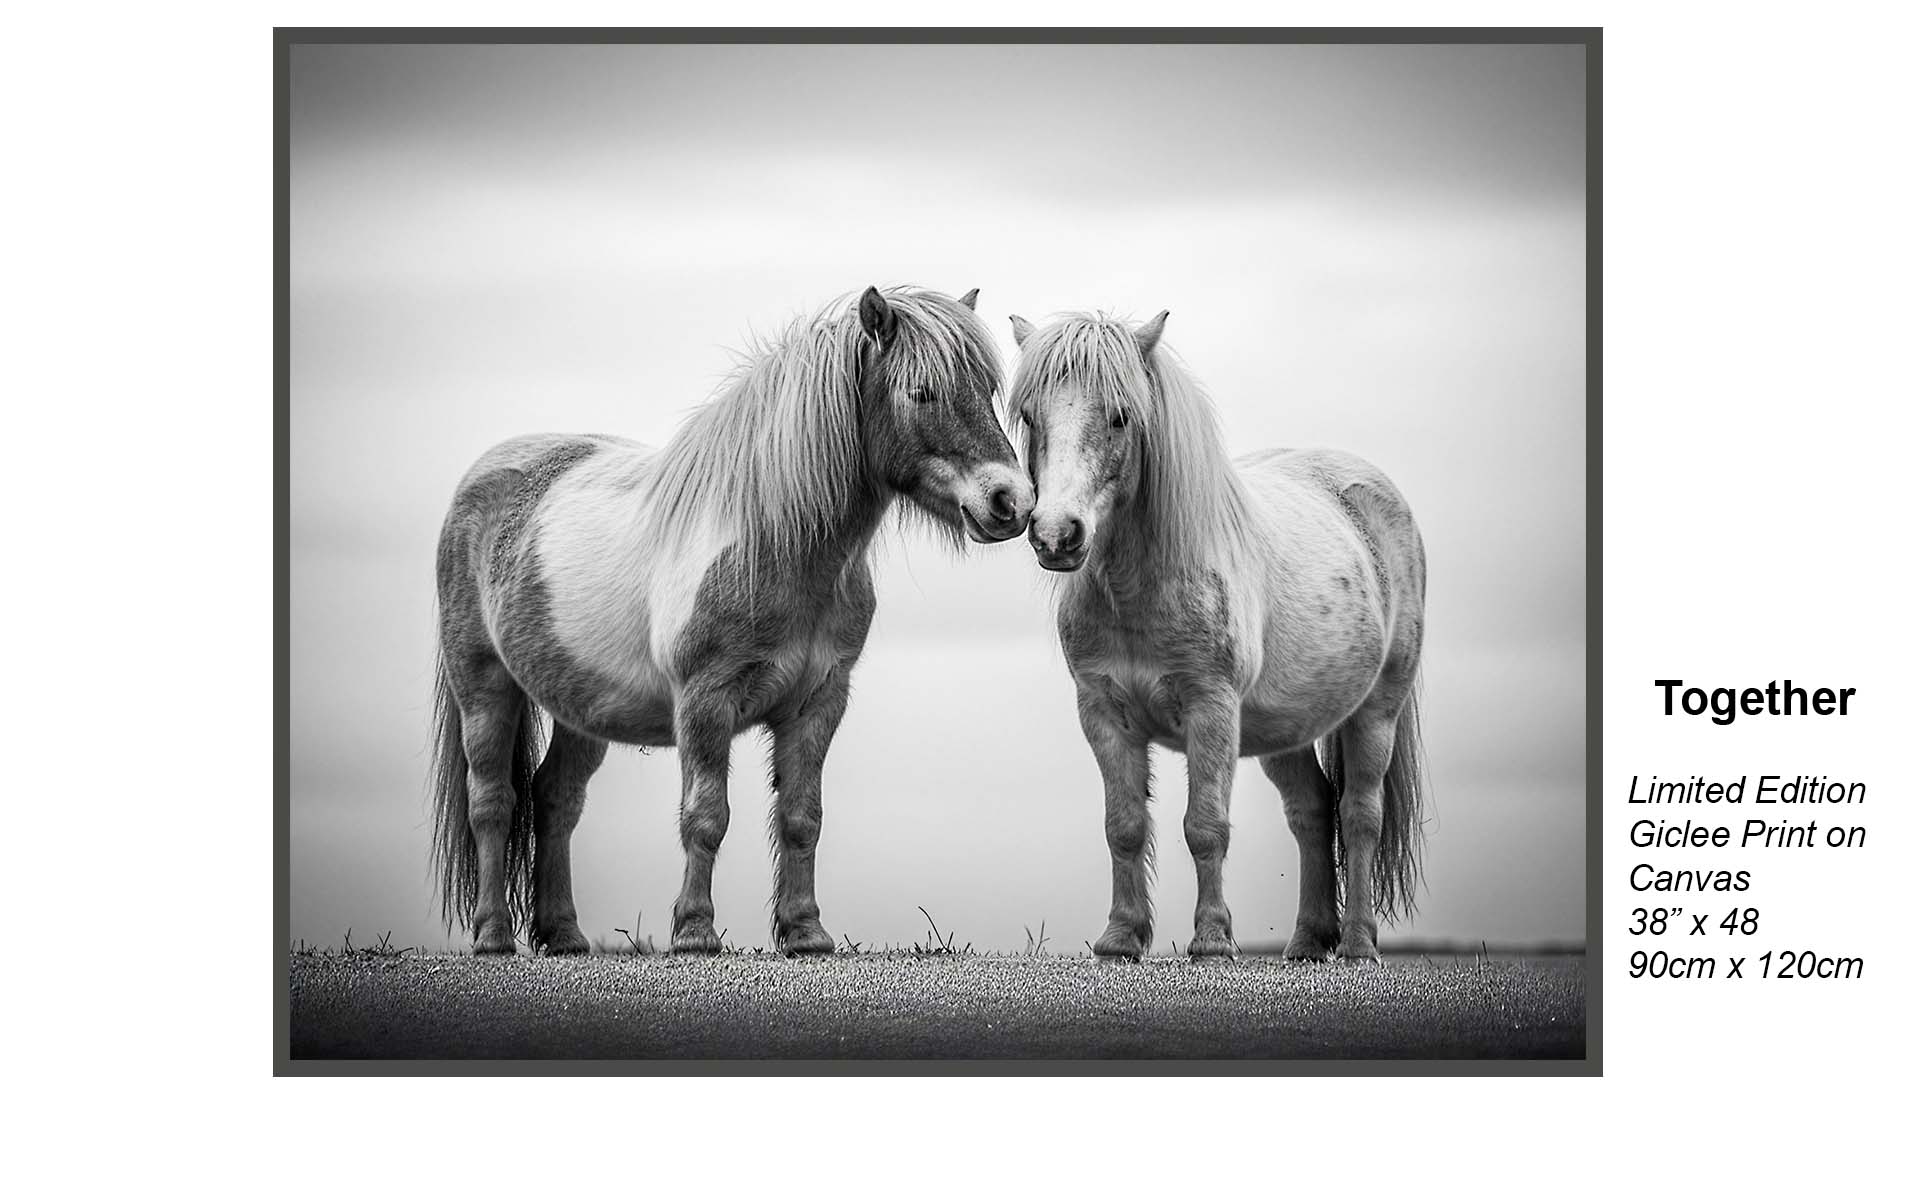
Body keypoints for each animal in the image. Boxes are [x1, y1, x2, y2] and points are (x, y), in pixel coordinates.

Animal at [431, 285, 1032, 956]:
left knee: (556, 798)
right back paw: (493, 936)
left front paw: (805, 933)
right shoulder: (704, 702)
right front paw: (695, 932)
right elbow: (706, 818)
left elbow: (801, 818)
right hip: (483, 685)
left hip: (582, 707)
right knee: (493, 802)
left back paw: (562, 935)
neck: (771, 541)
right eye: (921, 392)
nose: (1013, 501)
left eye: (987, 389)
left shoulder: (818, 703)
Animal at [1006, 310, 1428, 961]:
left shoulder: (1212, 710)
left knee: (1360, 814)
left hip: (1377, 712)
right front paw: (1120, 939)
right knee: (1312, 811)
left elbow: (1204, 827)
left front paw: (1211, 940)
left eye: (1121, 415)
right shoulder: (1102, 713)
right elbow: (1123, 826)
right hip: (1284, 730)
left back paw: (1358, 945)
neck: (1142, 590)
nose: (1056, 535)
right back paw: (1308, 941)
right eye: (1030, 417)